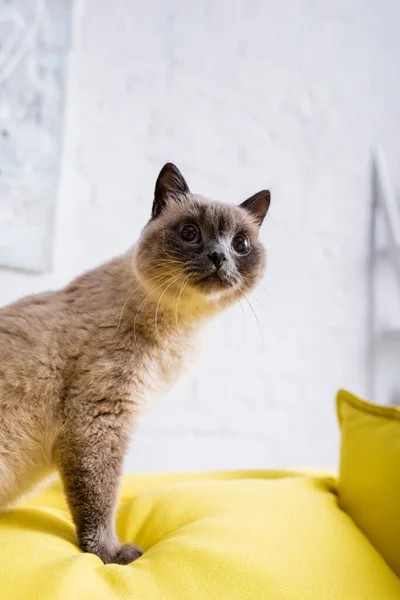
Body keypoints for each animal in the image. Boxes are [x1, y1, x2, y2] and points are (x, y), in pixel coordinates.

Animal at [0, 163, 272, 564]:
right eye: (189, 233)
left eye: (240, 244)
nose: (218, 257)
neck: (182, 329)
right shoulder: (99, 419)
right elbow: (100, 501)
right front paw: (112, 555)